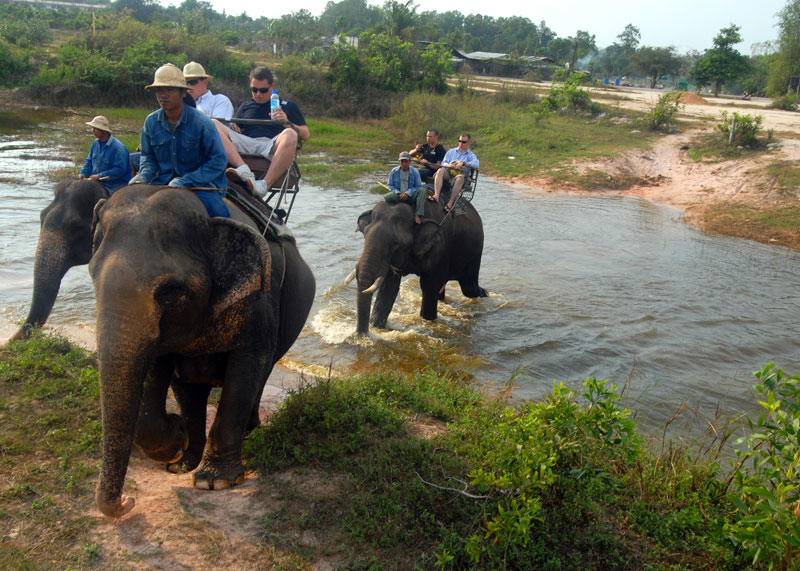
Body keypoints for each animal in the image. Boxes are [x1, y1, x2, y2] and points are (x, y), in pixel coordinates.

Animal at [90, 184, 316, 520]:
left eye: (169, 291)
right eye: (92, 274)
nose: (127, 502)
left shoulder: (258, 302)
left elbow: (246, 369)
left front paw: (214, 482)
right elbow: (160, 372)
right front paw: (177, 447)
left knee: (260, 377)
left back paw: (250, 435)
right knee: (191, 390)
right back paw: (187, 460)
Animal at [350, 198, 488, 336]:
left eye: (395, 244)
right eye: (365, 234)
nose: (361, 334)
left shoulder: (440, 247)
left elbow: (429, 285)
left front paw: (428, 321)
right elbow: (389, 286)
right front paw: (377, 327)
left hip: (476, 249)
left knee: (468, 288)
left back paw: (486, 294)